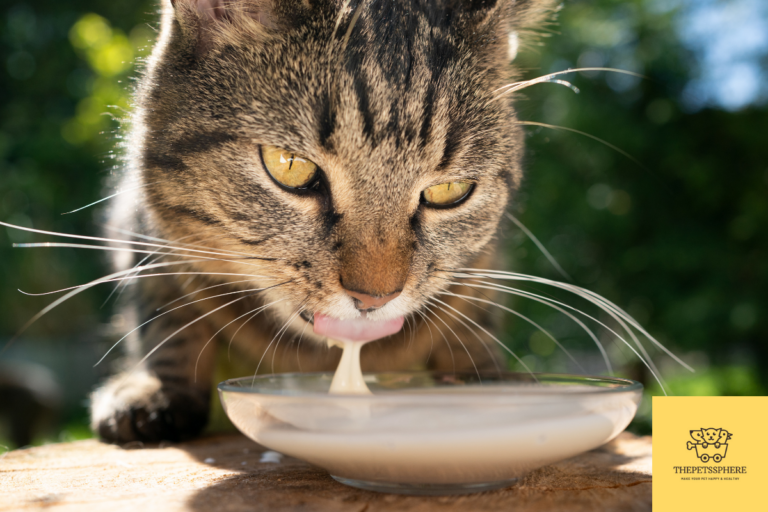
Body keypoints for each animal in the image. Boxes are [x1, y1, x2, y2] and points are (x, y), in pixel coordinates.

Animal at [91, 0, 560, 442]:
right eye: (290, 165)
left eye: (449, 190)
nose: (374, 298)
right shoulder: (142, 234)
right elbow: (164, 316)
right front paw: (156, 390)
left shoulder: (484, 267)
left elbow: (474, 322)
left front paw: (485, 383)